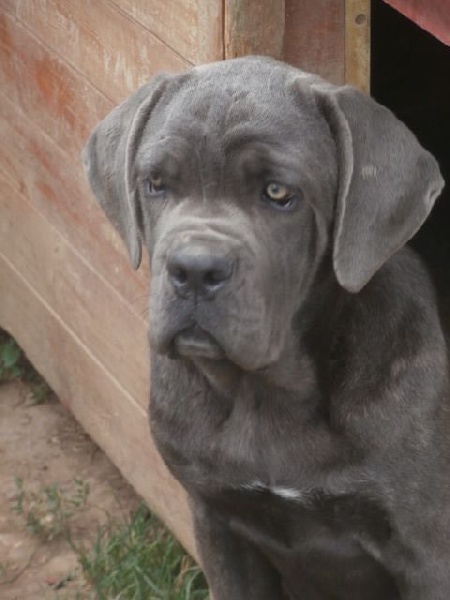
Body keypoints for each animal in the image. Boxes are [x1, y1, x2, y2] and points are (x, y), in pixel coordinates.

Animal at [83, 57, 449, 599]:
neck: (266, 392)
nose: (195, 269)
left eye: (279, 193)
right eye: (156, 183)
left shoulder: (426, 551)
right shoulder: (218, 521)